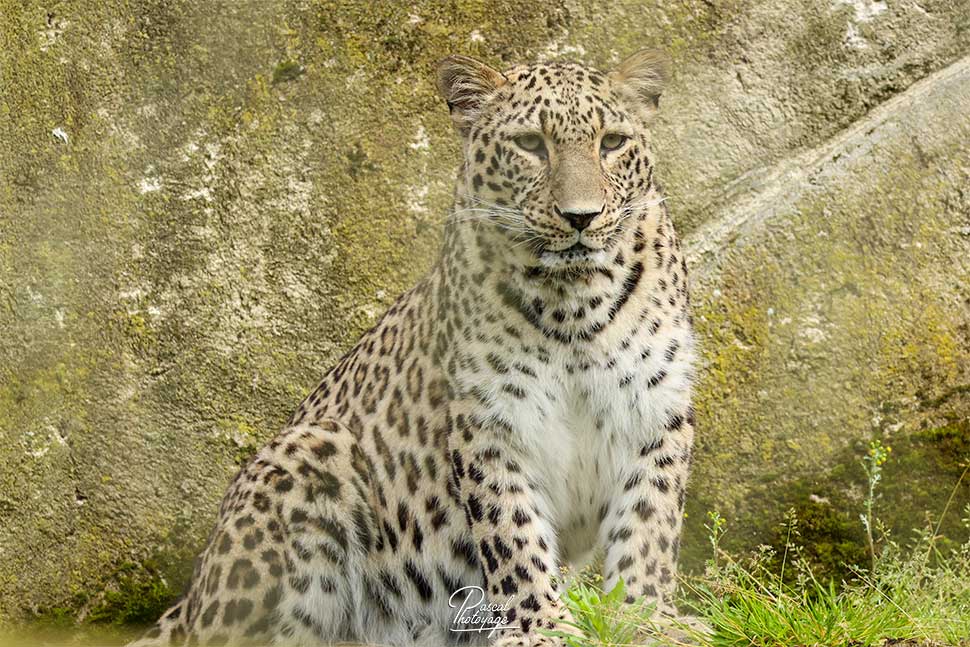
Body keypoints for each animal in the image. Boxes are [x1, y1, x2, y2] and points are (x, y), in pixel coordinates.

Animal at [130, 50, 696, 647]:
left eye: (612, 143)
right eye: (530, 144)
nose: (581, 216)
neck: (575, 304)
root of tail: (189, 600)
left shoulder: (655, 412)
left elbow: (648, 525)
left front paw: (645, 617)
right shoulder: (489, 424)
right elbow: (513, 534)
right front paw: (540, 627)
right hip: (309, 455)